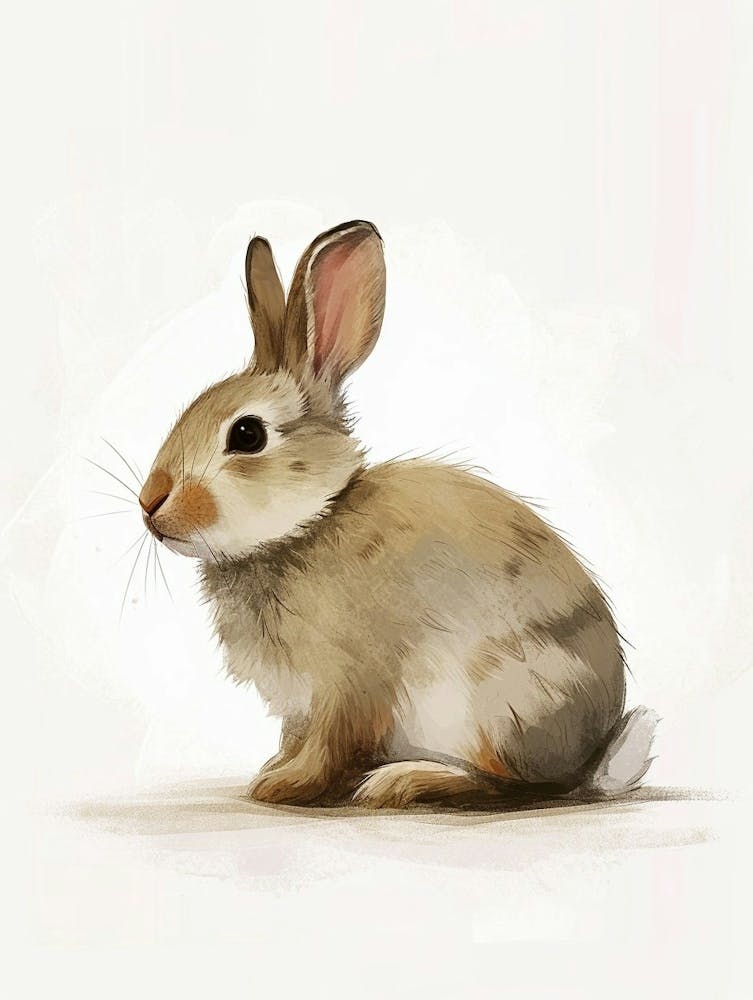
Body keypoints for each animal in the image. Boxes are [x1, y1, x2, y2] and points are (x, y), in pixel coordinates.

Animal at [138, 219, 658, 808]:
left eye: (247, 435)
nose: (149, 503)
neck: (307, 524)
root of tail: (589, 762)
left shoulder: (348, 683)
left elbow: (329, 744)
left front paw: (282, 786)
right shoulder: (301, 704)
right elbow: (295, 737)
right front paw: (273, 768)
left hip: (496, 705)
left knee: (506, 783)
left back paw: (402, 780)